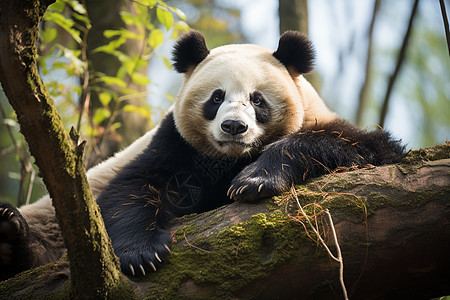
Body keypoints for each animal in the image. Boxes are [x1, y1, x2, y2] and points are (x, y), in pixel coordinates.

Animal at [0, 30, 406, 278]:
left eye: (257, 100)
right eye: (217, 97)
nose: (234, 127)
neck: (229, 158)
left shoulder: (320, 121)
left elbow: (366, 147)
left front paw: (255, 181)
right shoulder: (174, 142)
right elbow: (132, 186)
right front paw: (142, 254)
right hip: (50, 227)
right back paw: (9, 226)